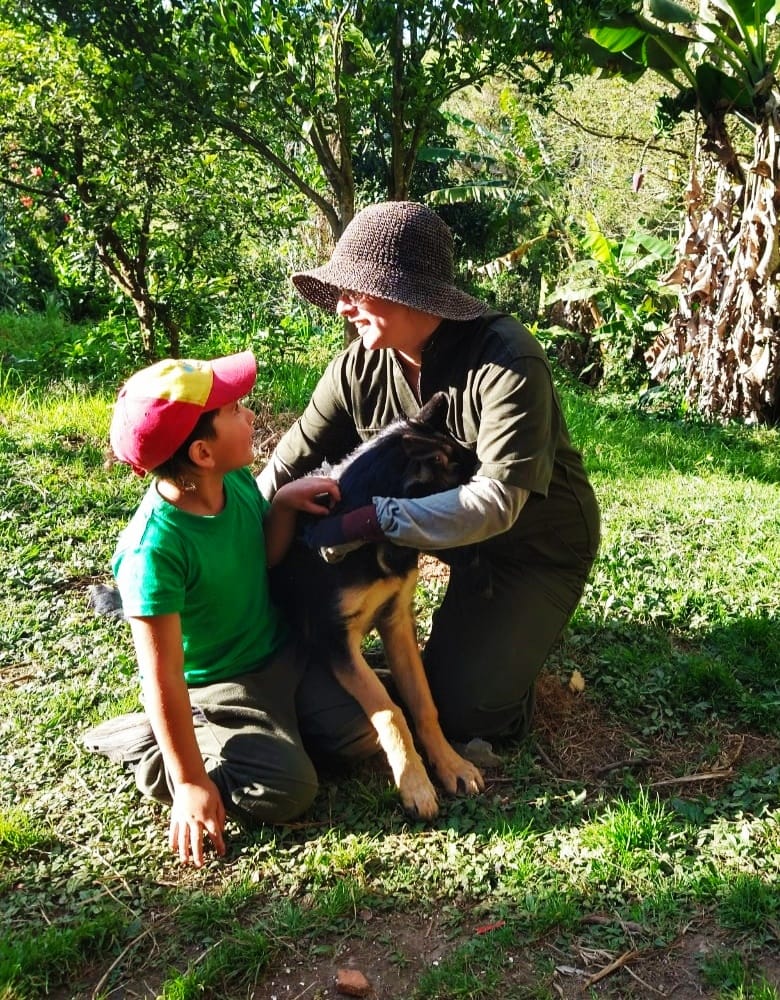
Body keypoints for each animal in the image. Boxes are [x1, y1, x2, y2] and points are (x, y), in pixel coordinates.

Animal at [272, 390, 484, 820]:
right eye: (461, 503)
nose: (480, 559)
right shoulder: (336, 642)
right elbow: (390, 711)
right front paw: (414, 782)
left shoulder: (396, 619)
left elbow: (422, 702)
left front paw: (449, 764)